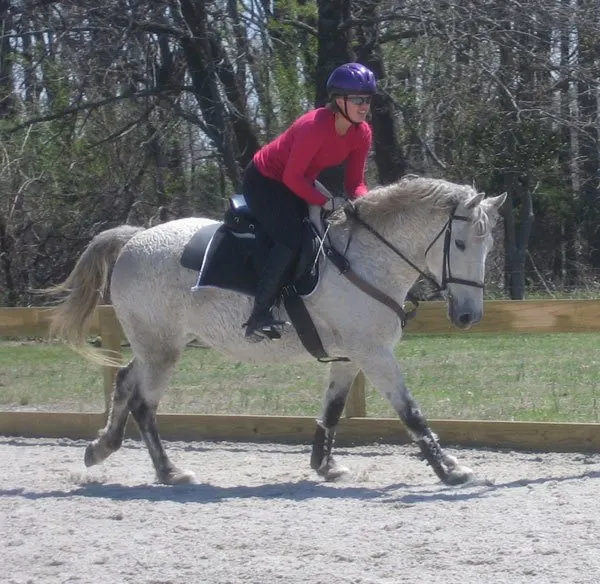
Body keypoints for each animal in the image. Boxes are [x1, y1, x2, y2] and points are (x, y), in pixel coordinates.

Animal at [45, 176, 506, 486]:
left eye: (487, 247)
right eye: (460, 244)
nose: (469, 316)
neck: (367, 259)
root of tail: (135, 239)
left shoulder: (351, 357)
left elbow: (332, 411)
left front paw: (325, 465)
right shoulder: (375, 356)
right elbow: (411, 412)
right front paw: (450, 469)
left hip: (157, 345)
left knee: (125, 382)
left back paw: (102, 448)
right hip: (163, 350)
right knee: (143, 402)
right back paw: (169, 471)